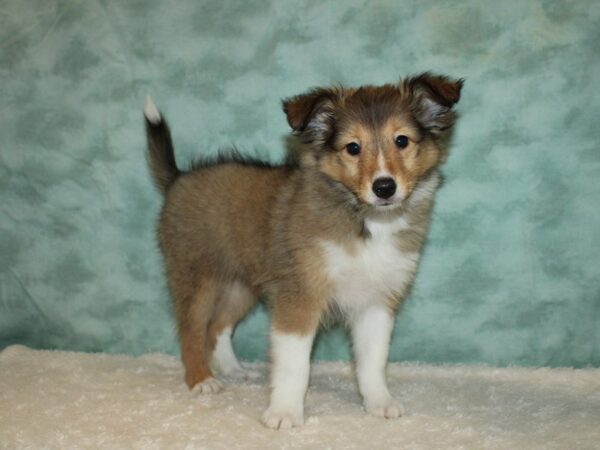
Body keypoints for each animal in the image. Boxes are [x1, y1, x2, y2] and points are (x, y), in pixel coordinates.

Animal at [145, 73, 464, 428]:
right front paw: (284, 412)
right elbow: (295, 365)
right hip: (196, 276)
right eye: (353, 147)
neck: (366, 221)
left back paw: (233, 369)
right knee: (191, 330)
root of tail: (177, 178)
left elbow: (373, 361)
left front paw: (379, 402)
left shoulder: (376, 301)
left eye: (402, 141)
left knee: (218, 327)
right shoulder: (300, 296)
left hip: (241, 284)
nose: (384, 187)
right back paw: (201, 380)